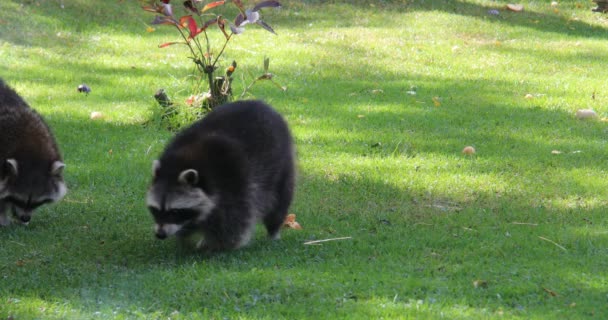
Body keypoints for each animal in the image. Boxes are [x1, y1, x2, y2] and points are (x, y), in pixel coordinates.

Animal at [150, 100, 296, 250]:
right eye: (155, 210)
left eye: (174, 211)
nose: (160, 234)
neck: (183, 160)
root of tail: (262, 104)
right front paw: (186, 236)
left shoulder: (233, 178)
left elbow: (234, 220)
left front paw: (218, 245)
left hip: (281, 166)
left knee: (278, 202)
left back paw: (274, 231)